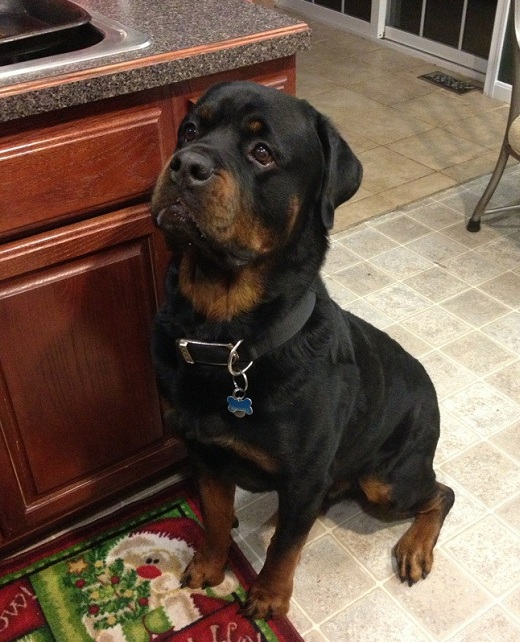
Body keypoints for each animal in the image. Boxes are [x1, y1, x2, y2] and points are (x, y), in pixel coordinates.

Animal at [151, 81, 454, 620]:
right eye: (189, 130)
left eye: (262, 152)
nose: (185, 164)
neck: (226, 337)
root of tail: (430, 386)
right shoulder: (205, 454)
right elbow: (215, 515)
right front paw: (210, 566)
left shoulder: (303, 477)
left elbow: (285, 548)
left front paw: (269, 597)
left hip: (389, 480)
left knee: (441, 492)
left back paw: (415, 547)